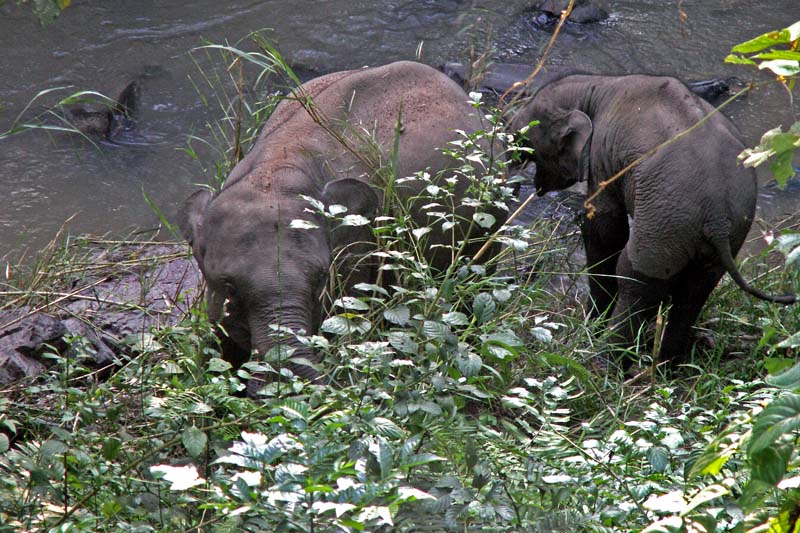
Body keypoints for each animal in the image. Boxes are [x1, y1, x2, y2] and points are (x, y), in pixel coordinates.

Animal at [510, 72, 796, 366]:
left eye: (527, 144)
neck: (595, 85)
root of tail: (717, 217)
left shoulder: (602, 159)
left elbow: (605, 229)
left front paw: (591, 323)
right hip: (724, 231)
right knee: (695, 290)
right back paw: (665, 364)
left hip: (664, 225)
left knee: (637, 281)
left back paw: (601, 361)